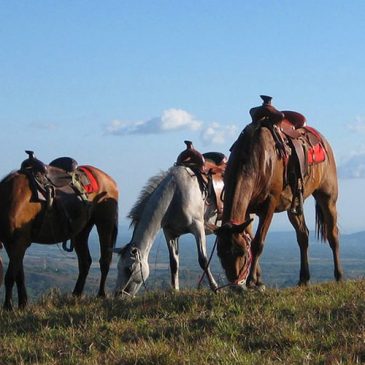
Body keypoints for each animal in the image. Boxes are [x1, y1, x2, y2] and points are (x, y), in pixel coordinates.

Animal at [0, 162, 118, 308]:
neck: (10, 199)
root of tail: (109, 180)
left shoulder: (19, 243)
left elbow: (10, 276)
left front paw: (8, 307)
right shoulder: (10, 244)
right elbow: (19, 275)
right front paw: (23, 304)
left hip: (105, 224)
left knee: (105, 260)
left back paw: (101, 294)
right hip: (81, 232)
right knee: (85, 261)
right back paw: (76, 294)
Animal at [218, 98, 342, 288]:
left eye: (240, 252)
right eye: (220, 253)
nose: (234, 282)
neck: (257, 158)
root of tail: (323, 141)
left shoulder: (269, 205)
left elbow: (257, 243)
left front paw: (252, 280)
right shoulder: (247, 210)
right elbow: (250, 239)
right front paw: (258, 281)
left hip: (328, 197)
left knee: (332, 234)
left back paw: (339, 276)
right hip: (295, 204)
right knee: (303, 236)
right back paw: (303, 278)